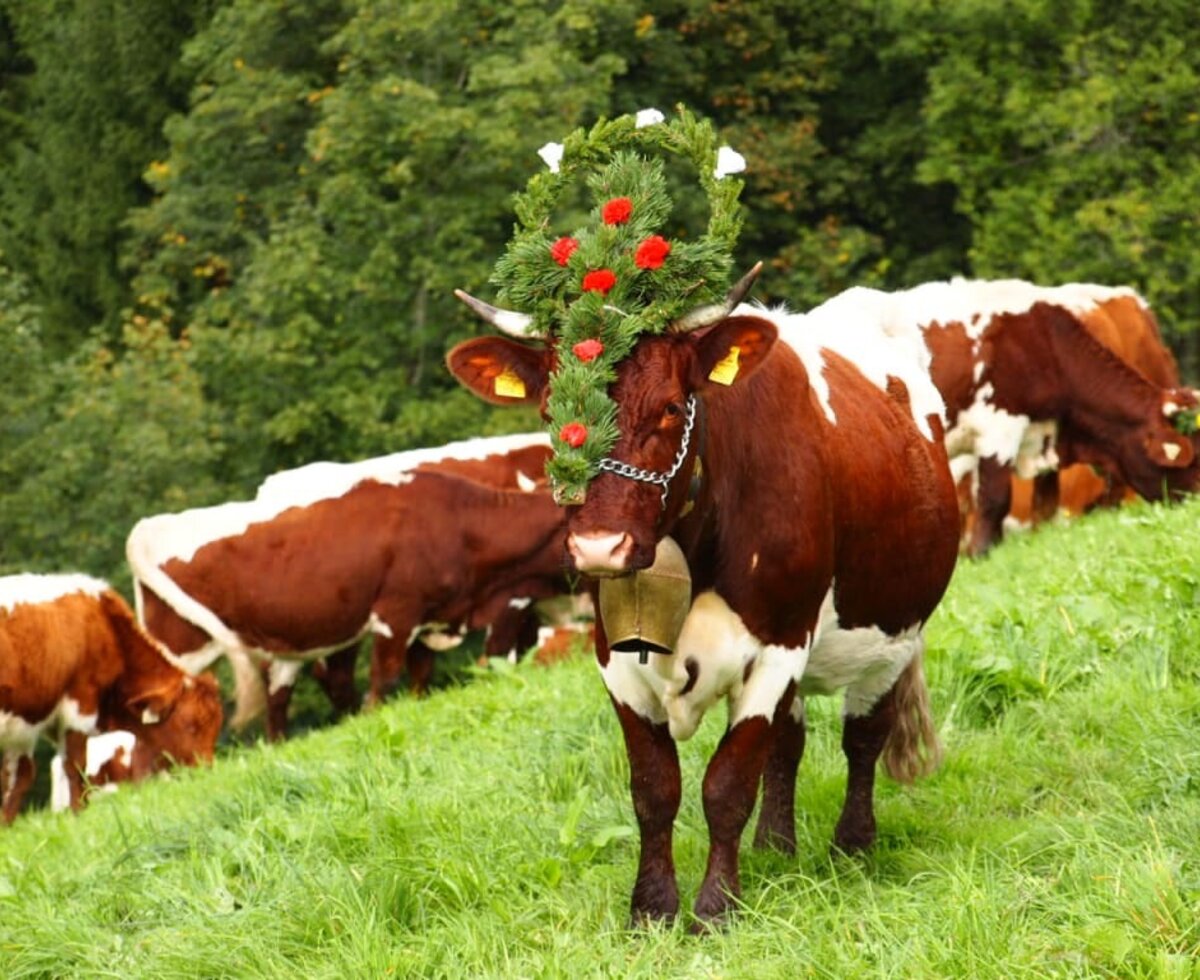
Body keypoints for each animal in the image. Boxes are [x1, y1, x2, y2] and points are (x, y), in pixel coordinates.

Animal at [0, 568, 223, 820]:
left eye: (216, 725)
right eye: (191, 726)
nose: (206, 772)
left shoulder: (23, 725)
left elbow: (16, 779)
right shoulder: (81, 705)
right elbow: (75, 765)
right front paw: (78, 815)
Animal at [129, 460, 568, 743]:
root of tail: (152, 525)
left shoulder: (429, 619)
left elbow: (420, 676)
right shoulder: (396, 614)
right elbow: (384, 678)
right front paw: (373, 716)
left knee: (277, 701)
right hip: (177, 652)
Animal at [446, 277, 960, 926]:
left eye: (670, 407)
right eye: (549, 413)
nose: (599, 546)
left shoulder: (779, 646)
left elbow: (727, 783)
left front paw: (716, 909)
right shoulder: (615, 660)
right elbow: (655, 788)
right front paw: (651, 909)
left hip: (894, 633)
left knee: (865, 735)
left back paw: (853, 846)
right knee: (788, 745)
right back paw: (775, 847)